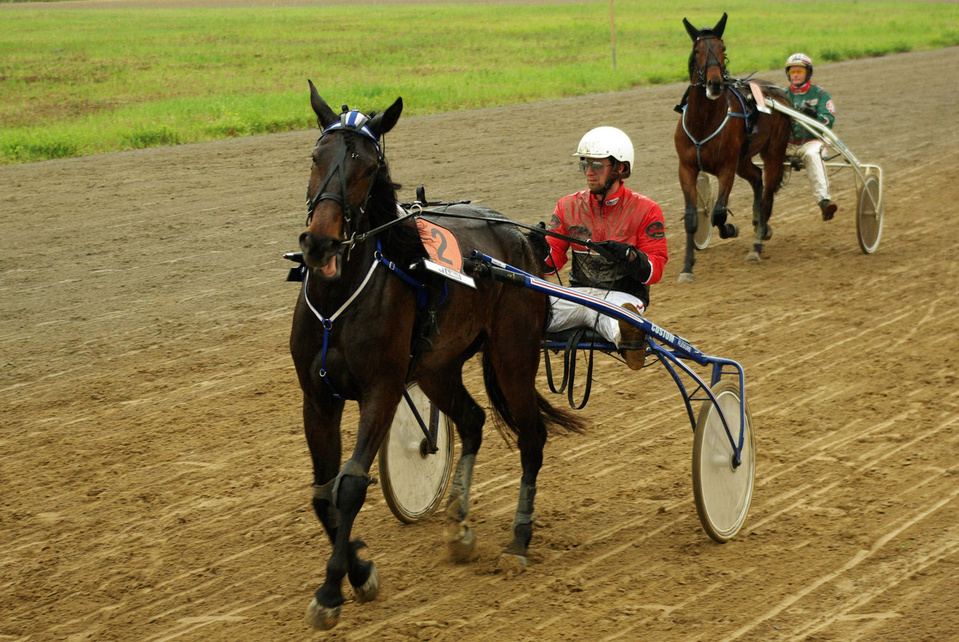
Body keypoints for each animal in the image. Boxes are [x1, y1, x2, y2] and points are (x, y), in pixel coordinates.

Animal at [291, 81, 585, 630]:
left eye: (368, 166)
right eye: (316, 156)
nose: (320, 242)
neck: (339, 297)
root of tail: (518, 239)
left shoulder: (382, 391)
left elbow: (350, 487)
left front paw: (333, 589)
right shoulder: (317, 398)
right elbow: (323, 494)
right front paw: (359, 569)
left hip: (513, 355)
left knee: (532, 437)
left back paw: (518, 541)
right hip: (436, 367)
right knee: (472, 420)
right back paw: (460, 526)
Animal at [674, 13, 792, 282]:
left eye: (722, 48)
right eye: (697, 50)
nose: (715, 83)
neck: (704, 122)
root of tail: (778, 94)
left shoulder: (726, 167)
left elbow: (718, 212)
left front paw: (729, 227)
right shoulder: (686, 167)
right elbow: (692, 218)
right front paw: (687, 268)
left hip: (773, 152)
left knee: (767, 197)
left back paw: (757, 245)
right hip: (743, 159)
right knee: (757, 178)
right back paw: (760, 226)